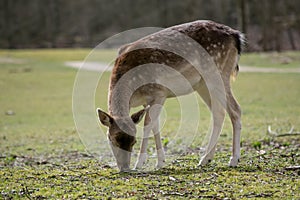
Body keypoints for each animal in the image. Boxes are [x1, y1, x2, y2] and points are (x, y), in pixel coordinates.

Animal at [98, 20, 244, 171]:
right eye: (112, 139)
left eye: (134, 141)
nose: (125, 167)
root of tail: (236, 36)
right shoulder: (147, 100)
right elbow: (155, 125)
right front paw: (160, 162)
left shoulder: (159, 92)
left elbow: (148, 125)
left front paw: (139, 163)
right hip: (202, 85)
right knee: (219, 113)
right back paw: (206, 159)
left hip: (218, 73)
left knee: (235, 109)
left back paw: (234, 159)